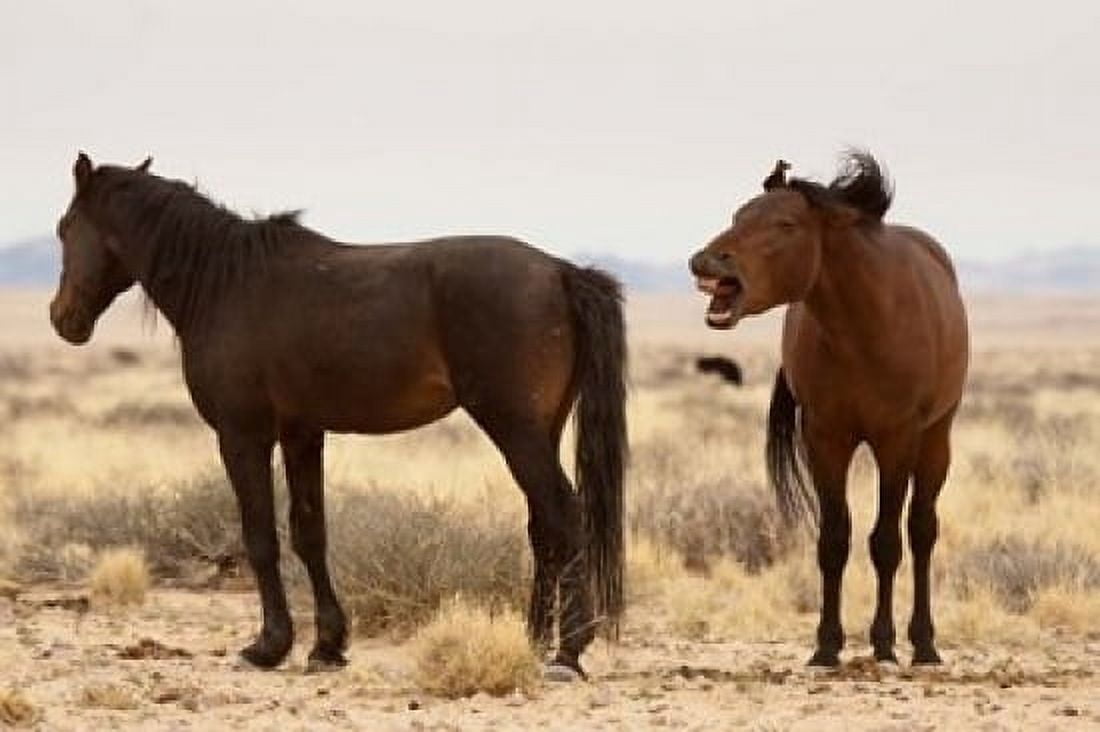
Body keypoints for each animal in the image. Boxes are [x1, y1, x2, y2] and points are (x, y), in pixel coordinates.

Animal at [50, 153, 627, 677]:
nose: (62, 318)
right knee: (543, 526)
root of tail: (561, 272)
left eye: (64, 228)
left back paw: (568, 653)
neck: (226, 284)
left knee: (565, 515)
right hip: (540, 430)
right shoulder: (302, 434)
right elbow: (310, 533)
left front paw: (268, 646)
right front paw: (327, 646)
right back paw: (532, 640)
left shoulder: (243, 435)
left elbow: (260, 538)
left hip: (515, 429)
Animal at [689, 152, 968, 667]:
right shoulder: (825, 439)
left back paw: (923, 644)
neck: (863, 328)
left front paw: (883, 643)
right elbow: (834, 539)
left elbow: (886, 542)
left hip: (936, 439)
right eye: (737, 216)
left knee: (921, 530)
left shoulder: (896, 440)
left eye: (784, 223)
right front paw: (826, 646)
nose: (706, 260)